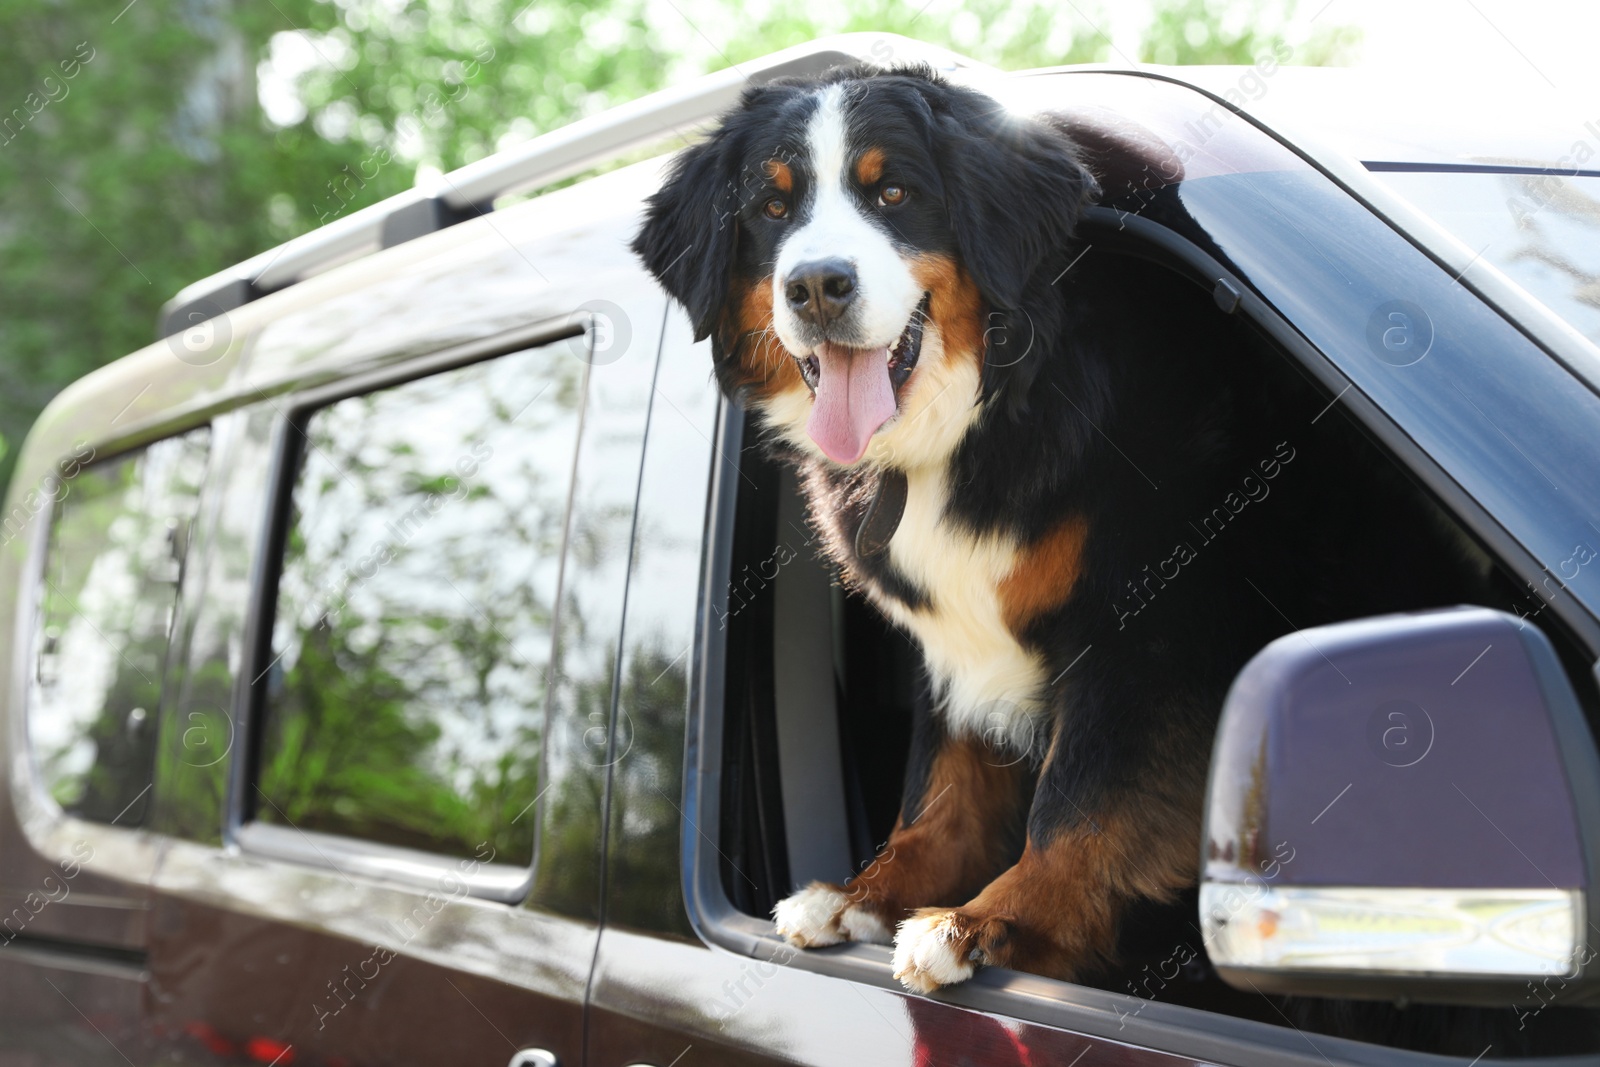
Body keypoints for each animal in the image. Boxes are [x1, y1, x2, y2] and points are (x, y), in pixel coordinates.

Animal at [630, 62, 1478, 1004]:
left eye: (893, 192)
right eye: (772, 207)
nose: (816, 285)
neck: (981, 414)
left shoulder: (1148, 628)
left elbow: (1081, 797)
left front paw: (985, 922)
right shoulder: (951, 639)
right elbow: (942, 786)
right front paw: (864, 893)